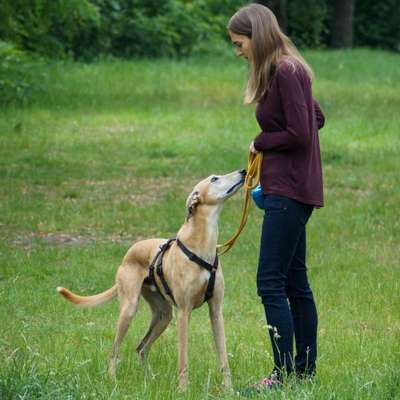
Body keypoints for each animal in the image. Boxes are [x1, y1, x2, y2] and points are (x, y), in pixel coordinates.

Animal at [56, 170, 245, 390]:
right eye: (214, 179)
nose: (243, 171)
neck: (201, 246)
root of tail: (128, 254)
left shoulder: (215, 310)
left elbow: (223, 357)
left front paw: (229, 389)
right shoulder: (184, 312)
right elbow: (183, 359)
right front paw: (183, 390)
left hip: (163, 315)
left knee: (142, 347)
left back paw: (149, 379)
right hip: (130, 310)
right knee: (114, 351)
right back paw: (112, 379)